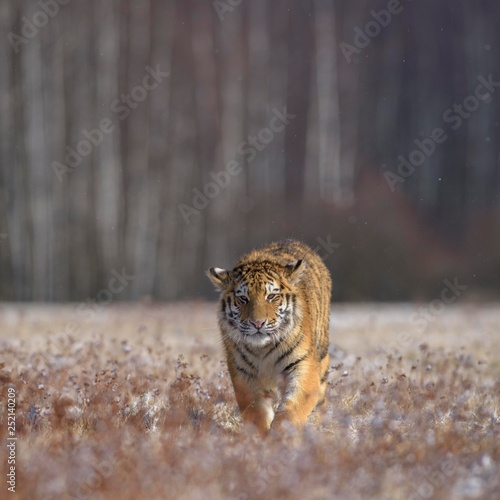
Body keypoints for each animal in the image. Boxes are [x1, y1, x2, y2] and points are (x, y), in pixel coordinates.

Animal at [207, 238, 332, 434]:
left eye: (272, 296)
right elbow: (256, 413)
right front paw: (262, 437)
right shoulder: (244, 375)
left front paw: (281, 435)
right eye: (243, 299)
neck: (262, 349)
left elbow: (292, 410)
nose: (258, 323)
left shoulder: (304, 366)